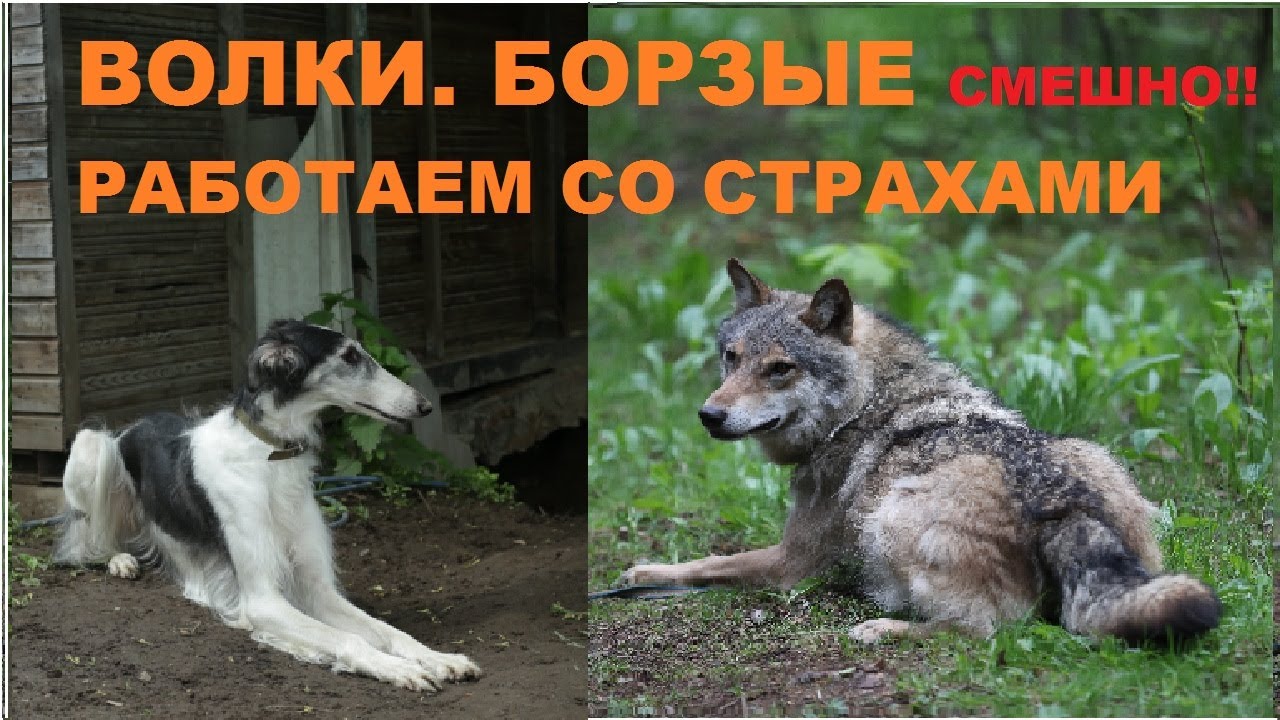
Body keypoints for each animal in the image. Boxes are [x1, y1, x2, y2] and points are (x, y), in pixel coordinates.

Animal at [623, 259, 1220, 643]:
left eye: (779, 368)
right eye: (731, 357)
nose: (710, 415)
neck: (861, 407)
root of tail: (1064, 502)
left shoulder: (790, 564)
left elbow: (709, 563)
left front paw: (643, 574)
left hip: (892, 518)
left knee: (985, 629)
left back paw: (882, 627)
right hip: (1095, 456)